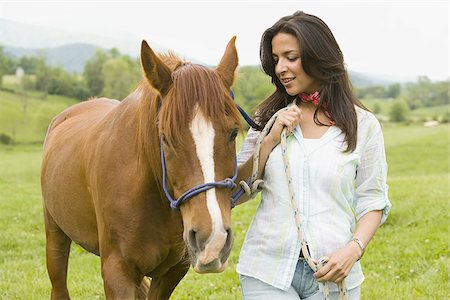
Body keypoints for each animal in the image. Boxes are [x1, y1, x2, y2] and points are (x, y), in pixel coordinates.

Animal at [41, 37, 243, 298]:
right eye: (165, 137)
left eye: (233, 133)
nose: (213, 239)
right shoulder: (118, 273)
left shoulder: (171, 273)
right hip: (55, 233)